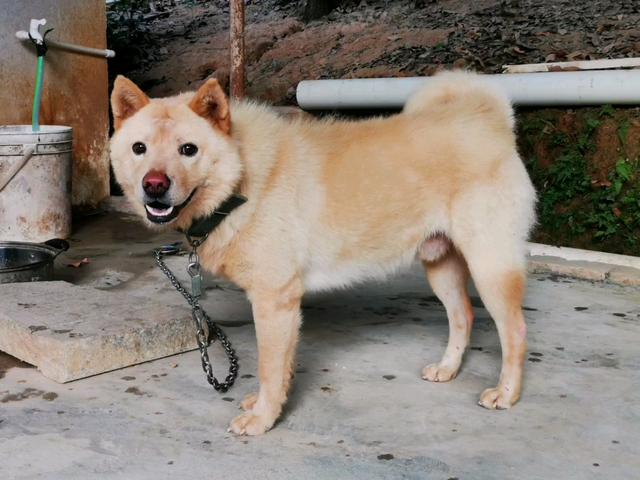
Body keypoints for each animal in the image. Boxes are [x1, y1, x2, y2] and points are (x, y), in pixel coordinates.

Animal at [110, 71, 536, 436]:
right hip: (440, 264)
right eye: (139, 149)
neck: (241, 180)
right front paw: (268, 405)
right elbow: (279, 370)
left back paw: (507, 394)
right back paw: (448, 369)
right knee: (463, 315)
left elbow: (268, 367)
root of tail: (488, 122)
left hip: (490, 266)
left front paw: (264, 418)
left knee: (514, 330)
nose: (154, 185)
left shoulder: (275, 302)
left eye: (188, 150)